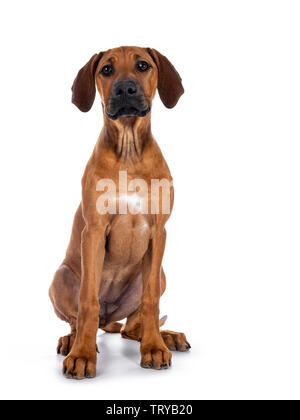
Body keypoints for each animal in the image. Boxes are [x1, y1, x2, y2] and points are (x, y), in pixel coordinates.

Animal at [49, 46, 190, 380]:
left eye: (143, 65)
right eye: (106, 70)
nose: (125, 89)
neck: (129, 152)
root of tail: (109, 317)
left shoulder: (158, 232)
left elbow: (151, 300)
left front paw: (153, 348)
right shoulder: (94, 231)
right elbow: (87, 302)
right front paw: (82, 355)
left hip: (159, 274)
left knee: (131, 328)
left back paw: (166, 337)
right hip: (60, 277)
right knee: (78, 319)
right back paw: (72, 341)